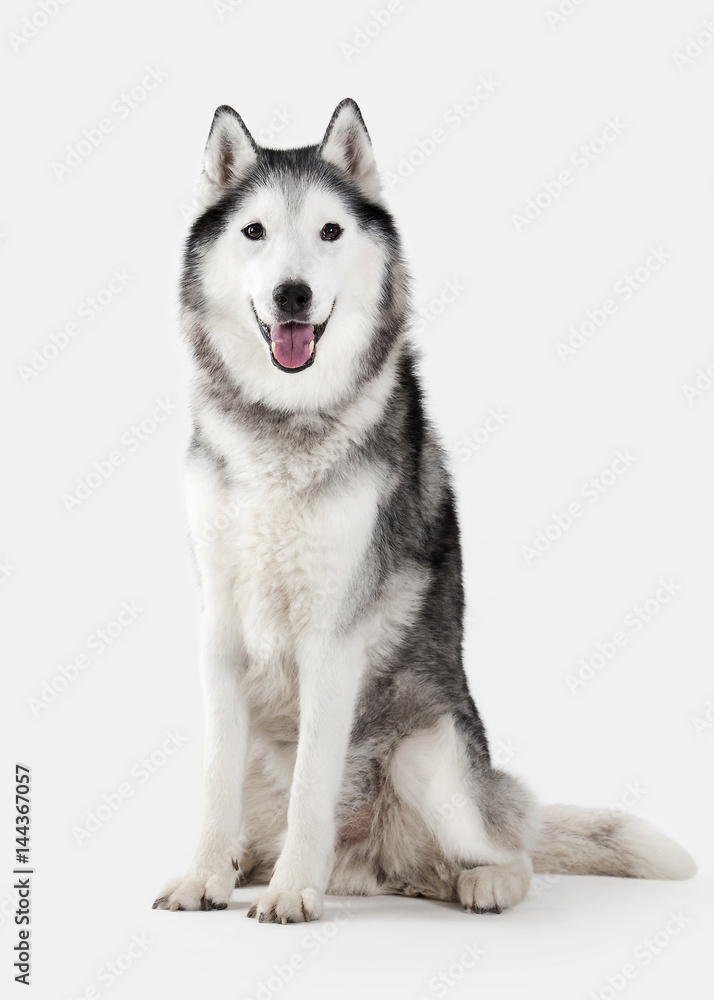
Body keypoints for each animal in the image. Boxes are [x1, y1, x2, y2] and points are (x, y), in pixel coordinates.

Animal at [152, 99, 696, 920]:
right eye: (254, 232)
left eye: (330, 231)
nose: (292, 294)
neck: (286, 426)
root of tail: (368, 866)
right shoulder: (220, 630)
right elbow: (213, 782)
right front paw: (202, 876)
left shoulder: (333, 637)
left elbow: (311, 786)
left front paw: (293, 894)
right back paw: (256, 864)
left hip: (429, 755)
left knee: (511, 853)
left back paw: (475, 881)